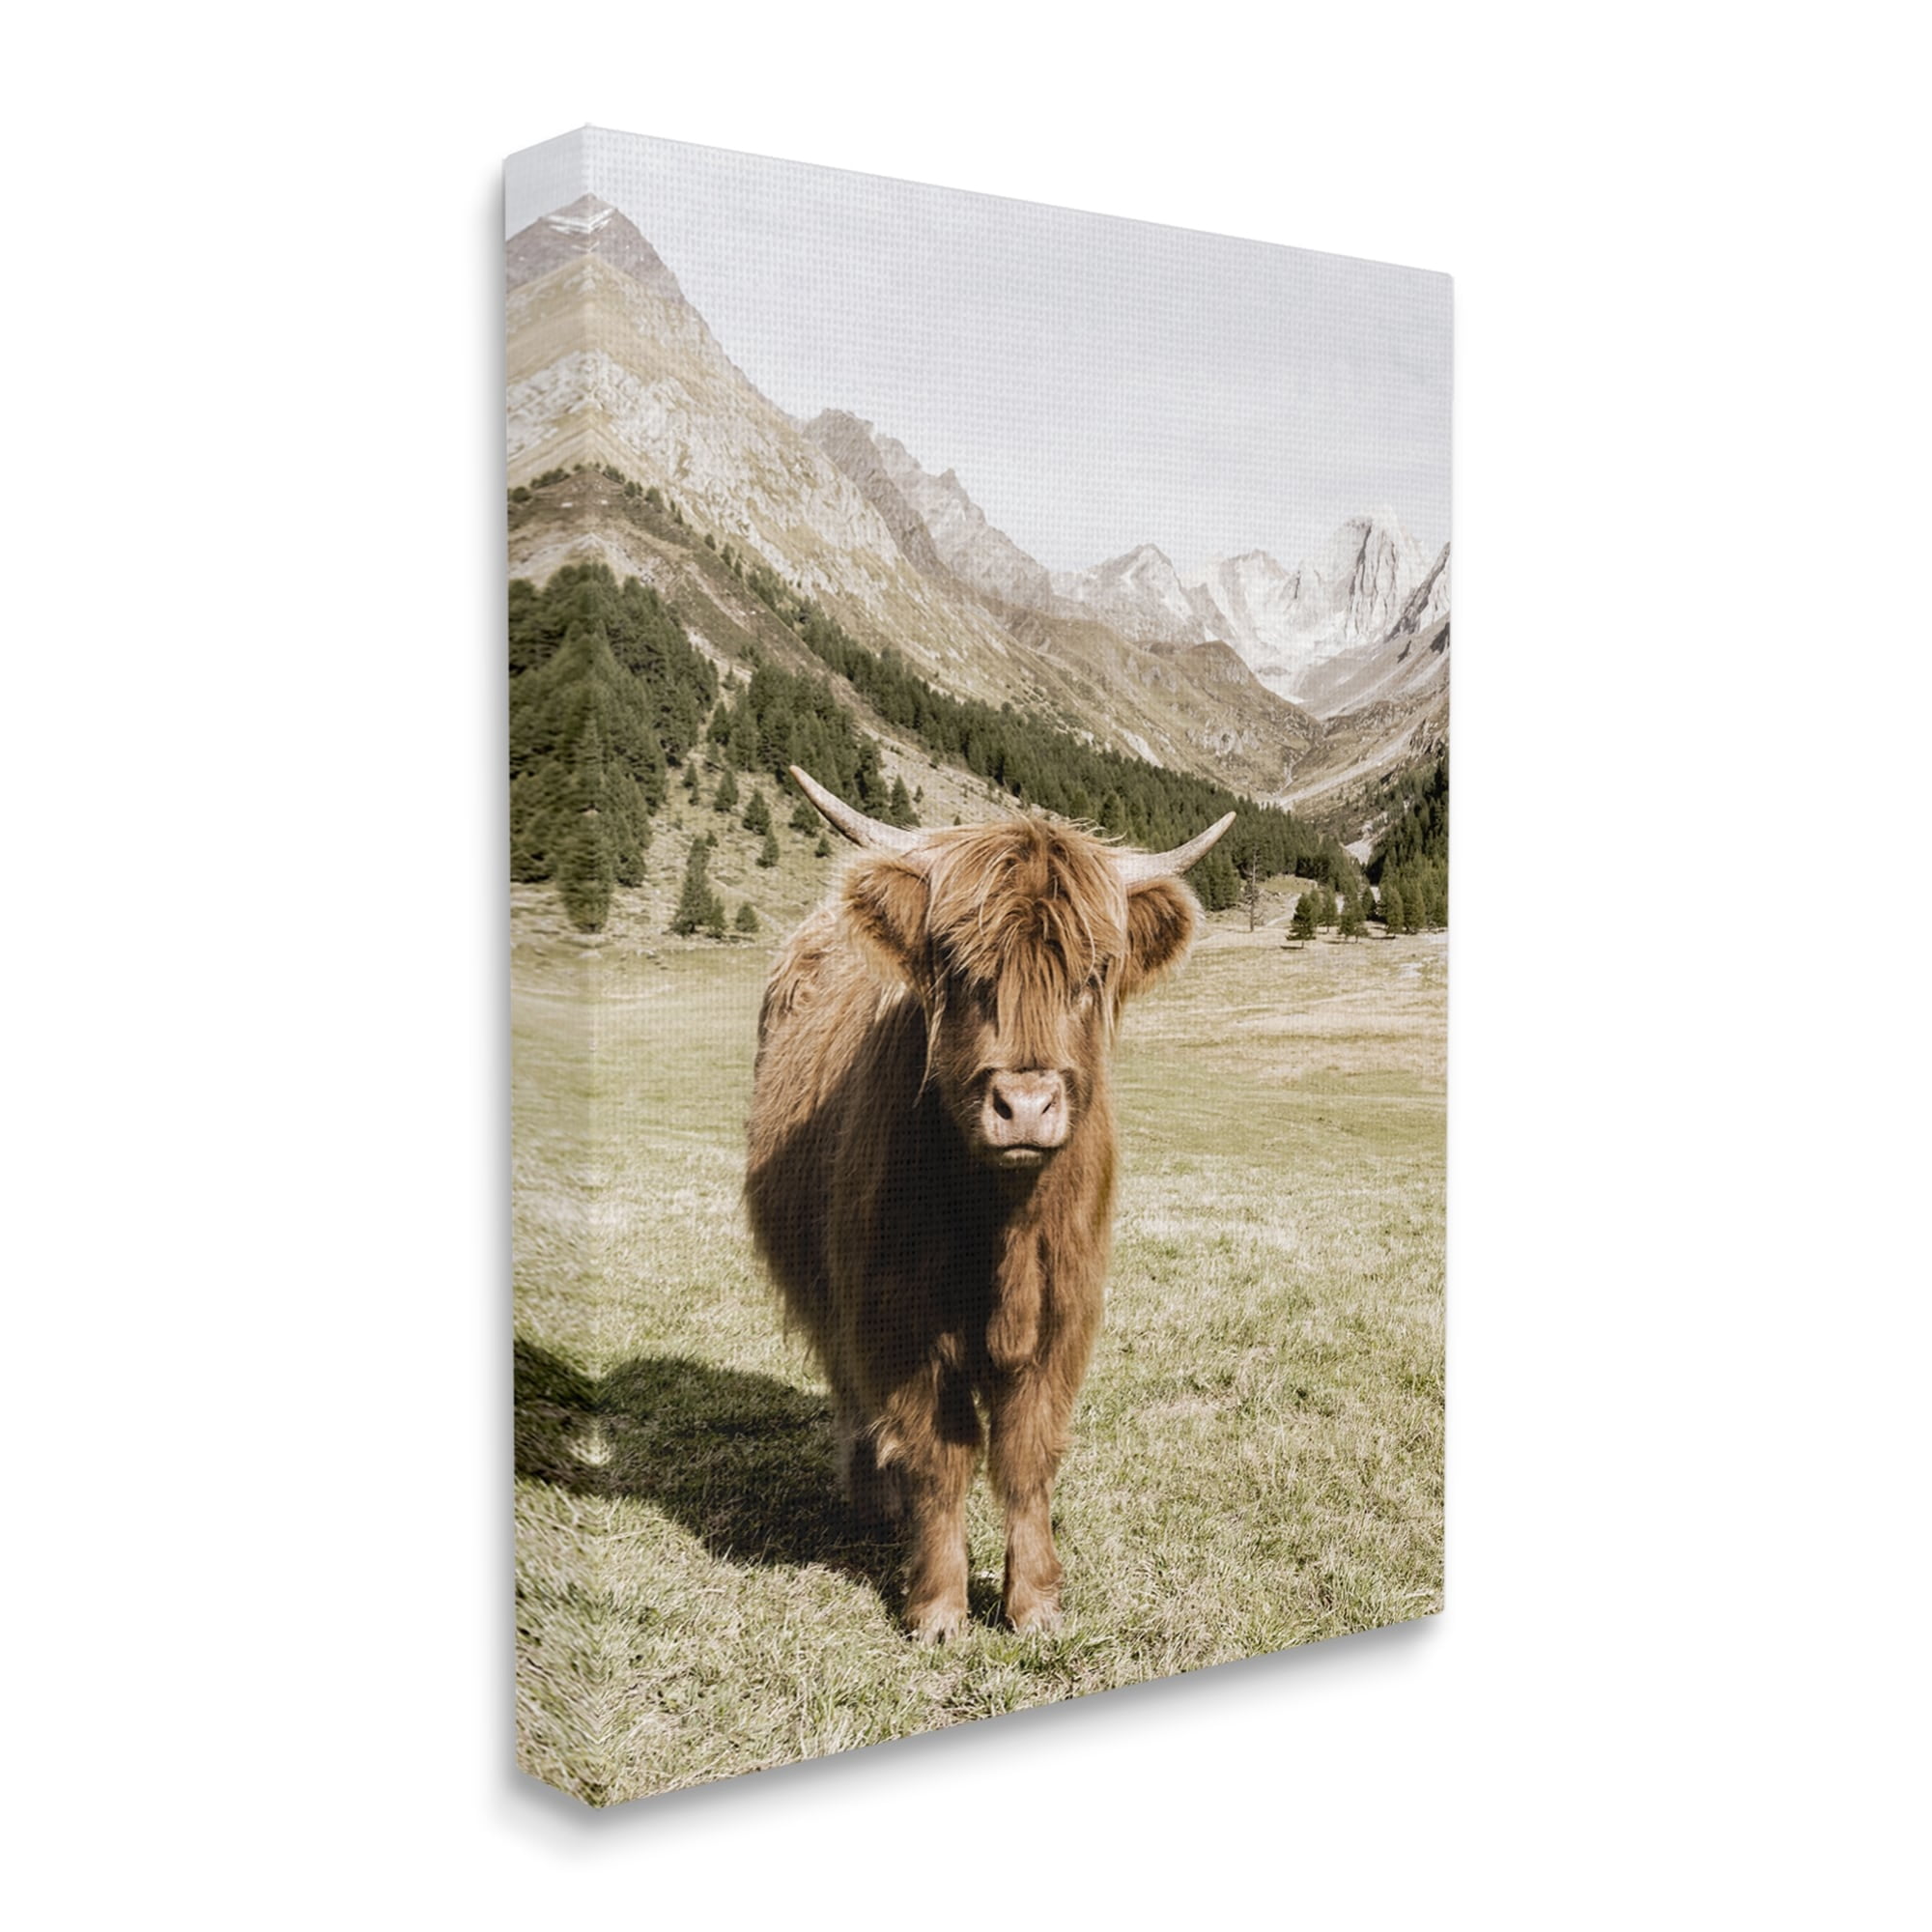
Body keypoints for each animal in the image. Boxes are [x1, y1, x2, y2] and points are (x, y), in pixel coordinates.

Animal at [745, 766, 1233, 1641]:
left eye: (1090, 975)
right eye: (962, 968)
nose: (1026, 1105)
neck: (1003, 1226)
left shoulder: (1063, 1312)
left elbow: (1026, 1451)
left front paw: (1034, 1601)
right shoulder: (897, 1315)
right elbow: (943, 1454)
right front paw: (939, 1608)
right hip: (831, 1294)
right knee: (850, 1390)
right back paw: (873, 1501)